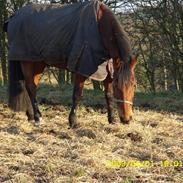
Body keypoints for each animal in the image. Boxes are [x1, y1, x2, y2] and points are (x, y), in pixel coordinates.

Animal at [3, 0, 137, 128]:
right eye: (117, 86)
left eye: (134, 85)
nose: (126, 119)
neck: (100, 25)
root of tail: (13, 16)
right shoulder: (82, 67)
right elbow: (77, 94)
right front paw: (73, 121)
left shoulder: (108, 71)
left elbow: (108, 95)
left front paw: (112, 120)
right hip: (26, 61)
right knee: (30, 87)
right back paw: (37, 117)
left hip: (38, 63)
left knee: (32, 86)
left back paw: (31, 115)